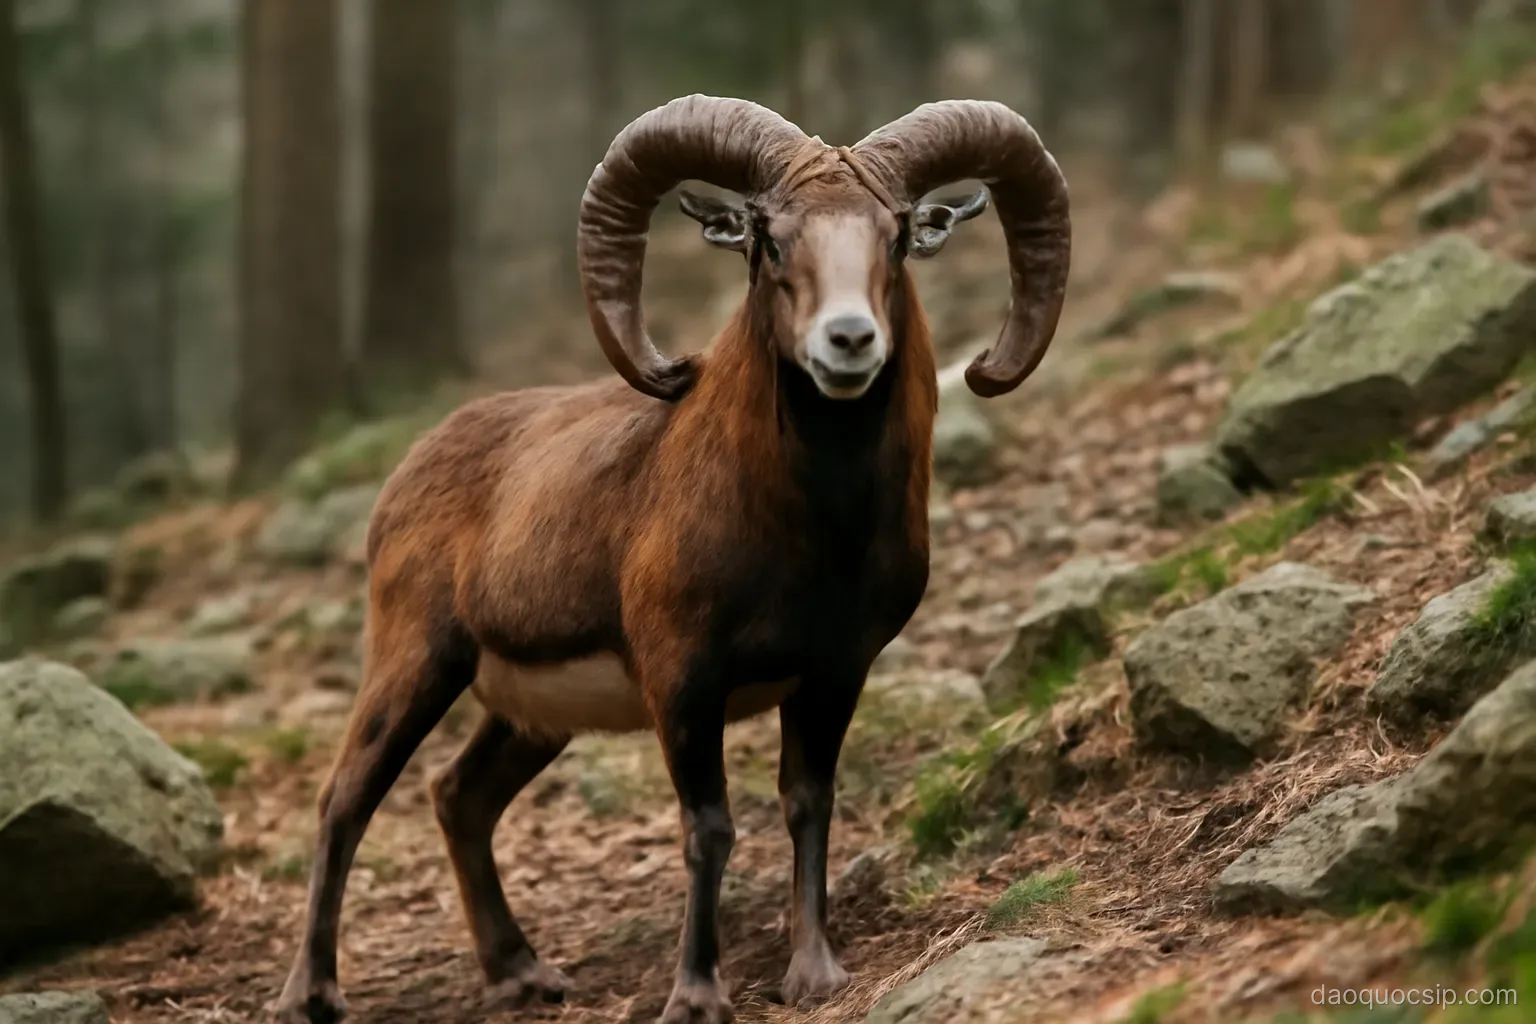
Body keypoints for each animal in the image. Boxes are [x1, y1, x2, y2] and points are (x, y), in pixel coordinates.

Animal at [274, 93, 1070, 1024]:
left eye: (899, 233)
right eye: (769, 239)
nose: (848, 341)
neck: (811, 534)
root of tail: (407, 474)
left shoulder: (834, 675)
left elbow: (807, 806)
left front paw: (814, 973)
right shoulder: (683, 682)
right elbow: (709, 830)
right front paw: (696, 995)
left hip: (528, 721)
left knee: (459, 799)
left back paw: (523, 974)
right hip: (416, 666)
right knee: (345, 800)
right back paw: (312, 993)